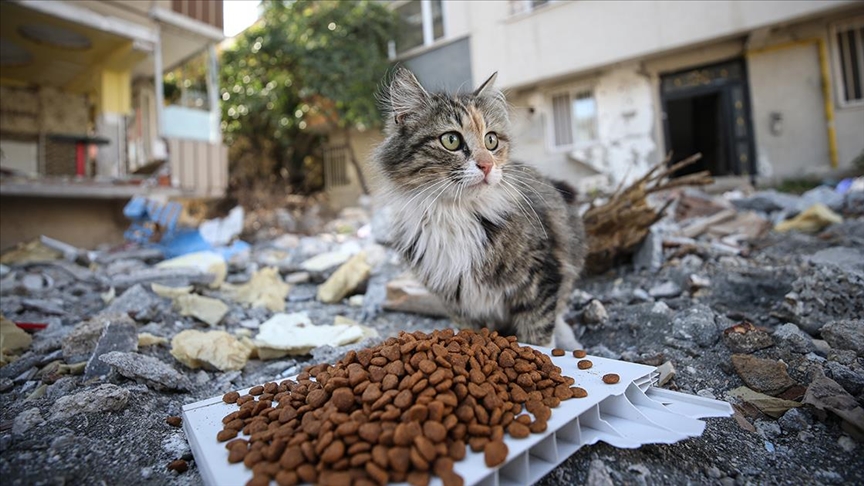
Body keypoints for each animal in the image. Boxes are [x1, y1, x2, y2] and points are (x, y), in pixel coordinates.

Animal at [372, 68, 588, 350]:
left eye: (491, 140)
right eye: (451, 140)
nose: (487, 165)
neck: (455, 214)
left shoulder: (540, 275)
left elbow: (540, 334)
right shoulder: (458, 302)